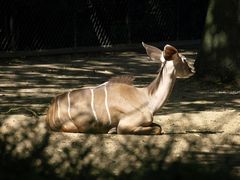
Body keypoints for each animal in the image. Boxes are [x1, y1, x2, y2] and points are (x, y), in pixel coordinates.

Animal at [45, 43, 195, 134]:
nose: (192, 70)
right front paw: (112, 130)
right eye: (184, 59)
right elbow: (158, 129)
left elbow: (158, 126)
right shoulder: (125, 125)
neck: (147, 98)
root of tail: (52, 106)